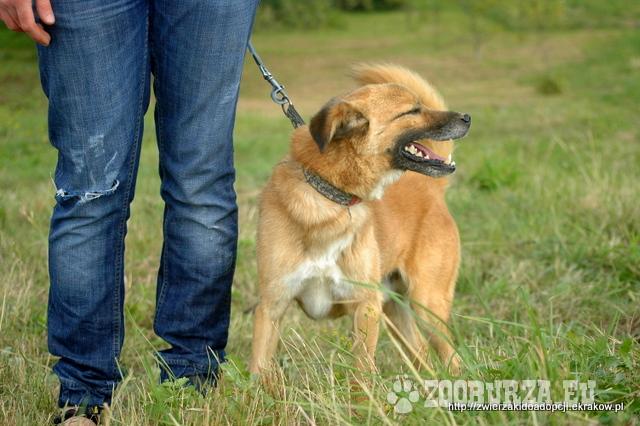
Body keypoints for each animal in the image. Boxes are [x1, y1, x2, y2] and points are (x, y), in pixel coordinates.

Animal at [249, 64, 471, 375]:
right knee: (423, 355)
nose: (467, 117)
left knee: (453, 360)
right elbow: (258, 371)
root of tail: (431, 189)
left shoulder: (366, 306)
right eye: (411, 111)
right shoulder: (272, 306)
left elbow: (362, 374)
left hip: (428, 304)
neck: (329, 197)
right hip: (396, 311)